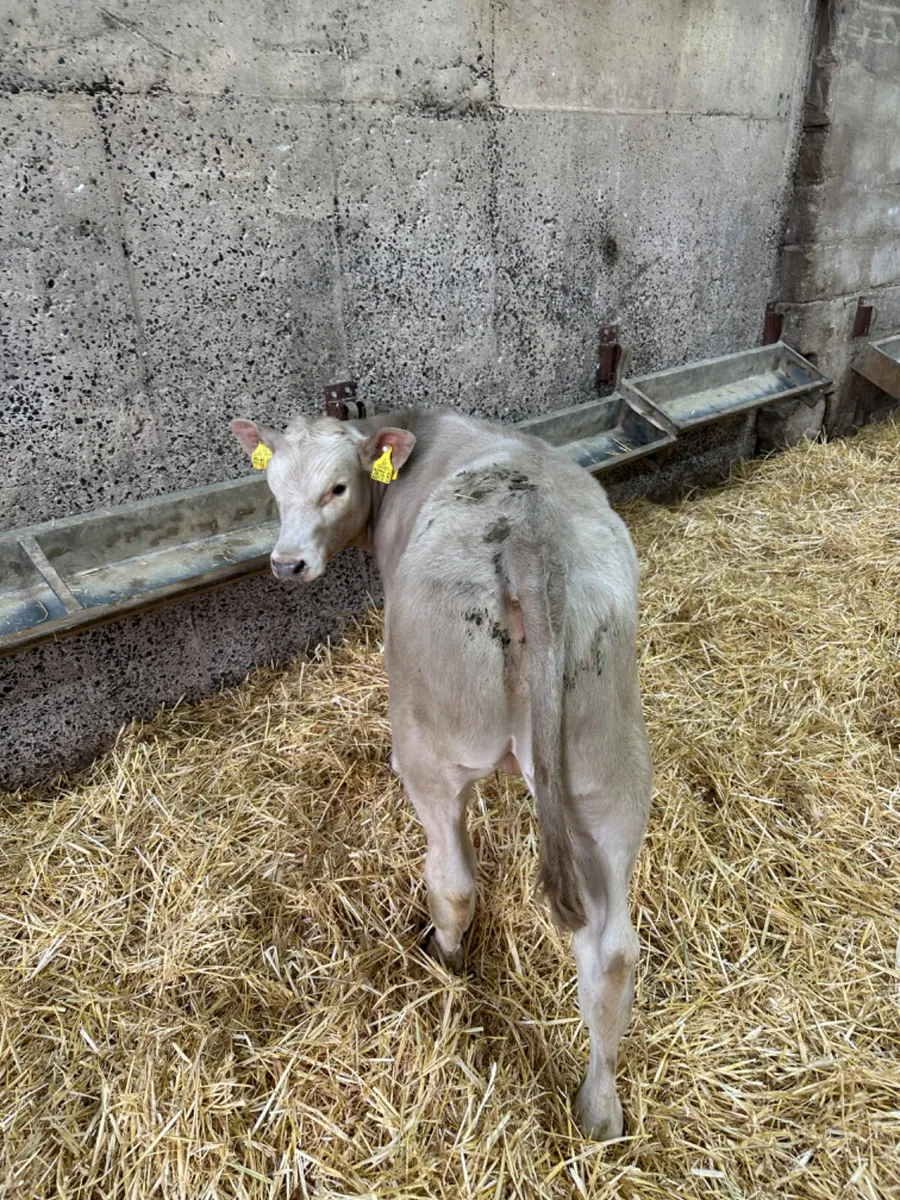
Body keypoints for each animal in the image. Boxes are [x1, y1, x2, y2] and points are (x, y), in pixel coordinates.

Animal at [231, 406, 652, 1140]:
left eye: (337, 488)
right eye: (274, 488)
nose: (286, 564)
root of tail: (531, 542)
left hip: (432, 749)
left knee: (454, 881)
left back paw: (444, 958)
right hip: (609, 773)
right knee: (612, 953)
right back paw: (599, 1110)